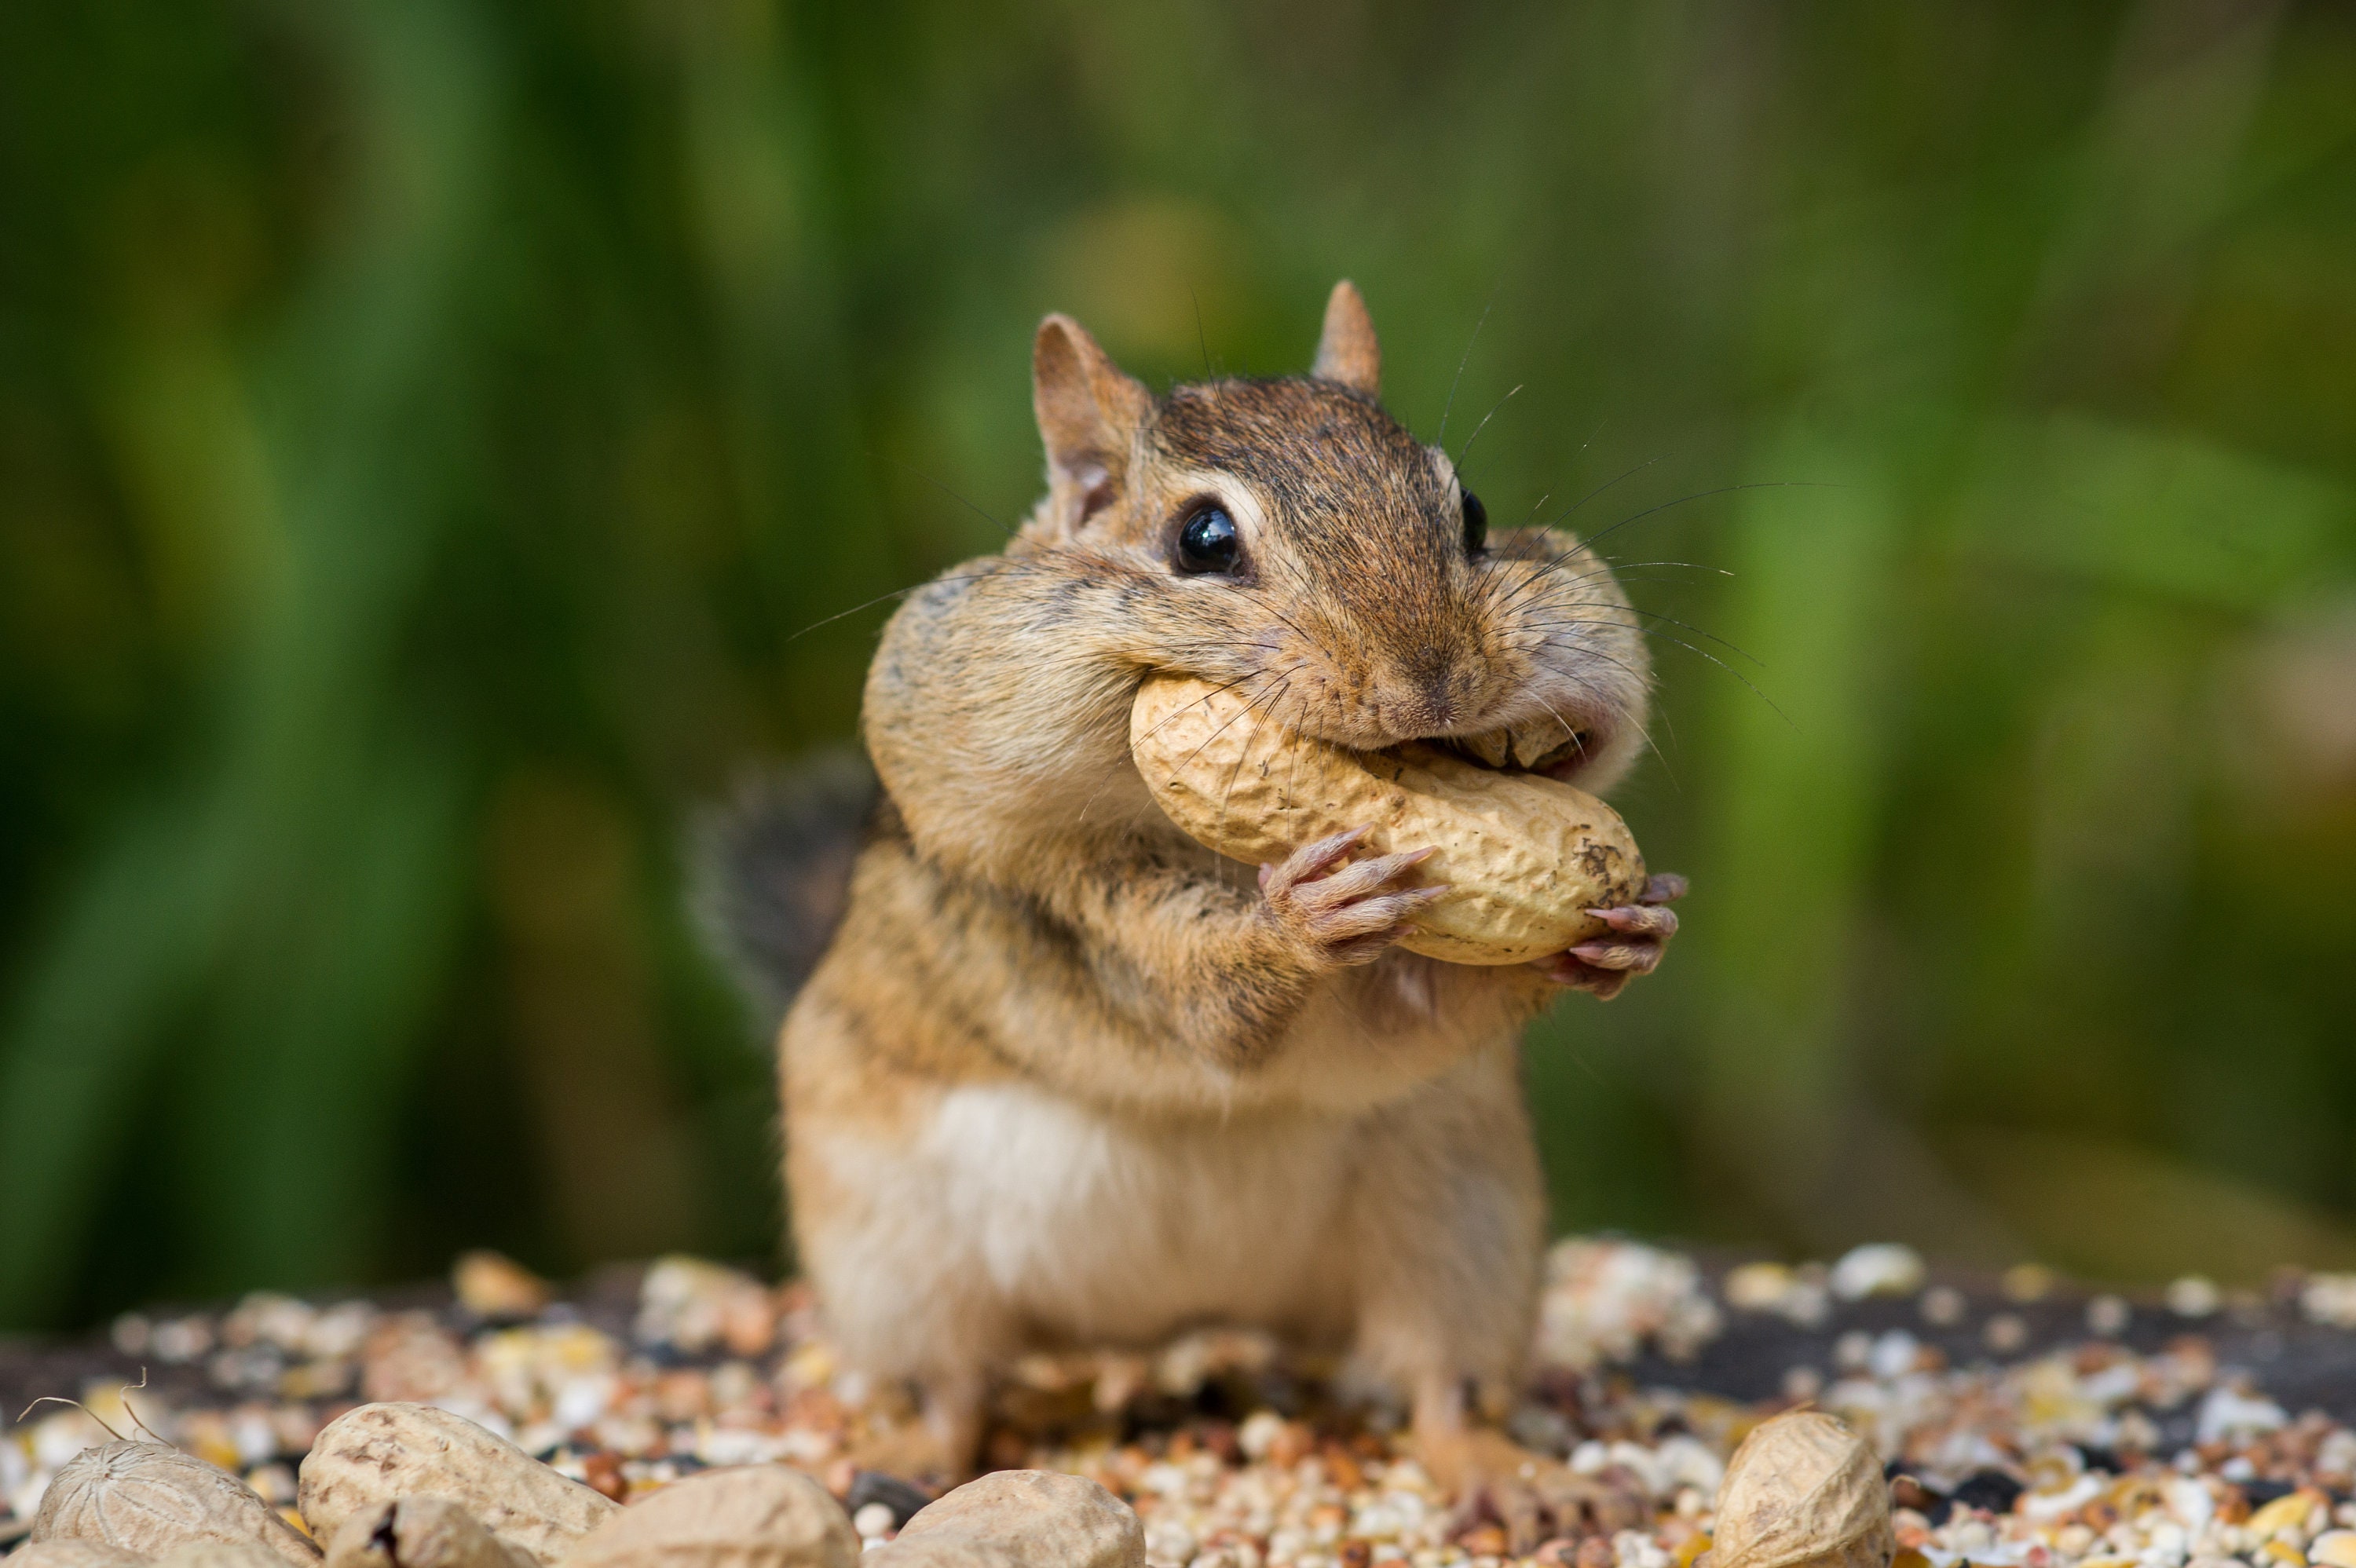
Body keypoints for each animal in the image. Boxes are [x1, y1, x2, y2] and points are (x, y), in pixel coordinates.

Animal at [710, 282, 1685, 1544]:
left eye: (1472, 514)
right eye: (1203, 540)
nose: (1431, 681)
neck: (1216, 850)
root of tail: (1177, 1317)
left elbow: (1436, 998)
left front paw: (1630, 925)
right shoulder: (1078, 913)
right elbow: (1205, 999)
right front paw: (1302, 916)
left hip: (1466, 1218)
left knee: (1444, 1385)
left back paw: (1513, 1475)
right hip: (890, 1258)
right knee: (947, 1385)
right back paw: (907, 1454)